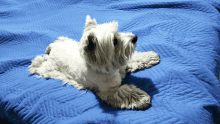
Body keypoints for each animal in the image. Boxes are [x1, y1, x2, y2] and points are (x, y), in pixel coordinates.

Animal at [28, 15, 160, 109]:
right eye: (115, 41)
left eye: (118, 32)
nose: (135, 38)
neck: (109, 67)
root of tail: (53, 48)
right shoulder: (110, 91)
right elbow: (127, 92)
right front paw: (142, 98)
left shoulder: (123, 63)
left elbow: (136, 58)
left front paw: (151, 56)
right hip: (48, 67)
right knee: (39, 62)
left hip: (66, 41)